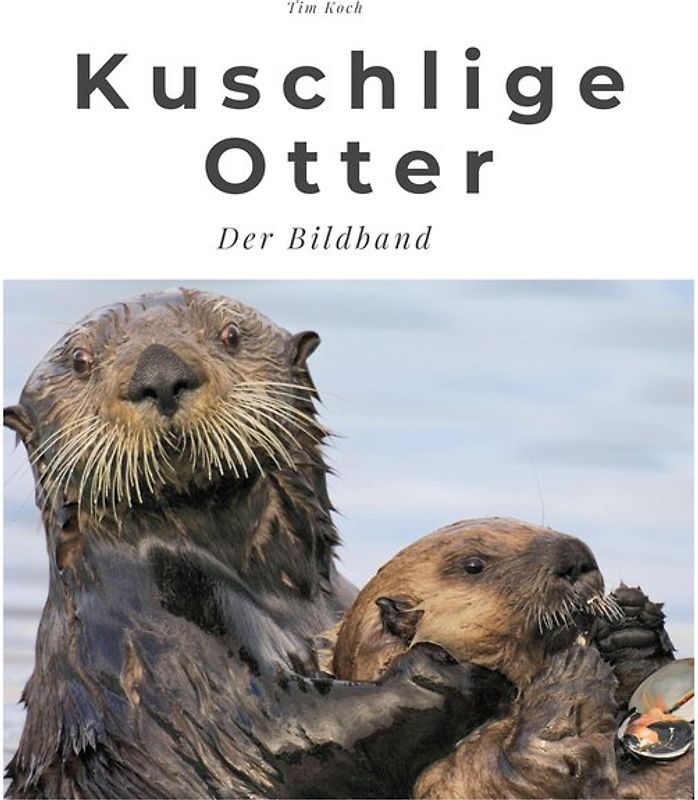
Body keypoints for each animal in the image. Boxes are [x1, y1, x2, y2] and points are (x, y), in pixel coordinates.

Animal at [4, 290, 515, 799]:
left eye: (231, 334)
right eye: (80, 361)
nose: (161, 374)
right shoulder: (154, 651)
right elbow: (277, 738)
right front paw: (453, 670)